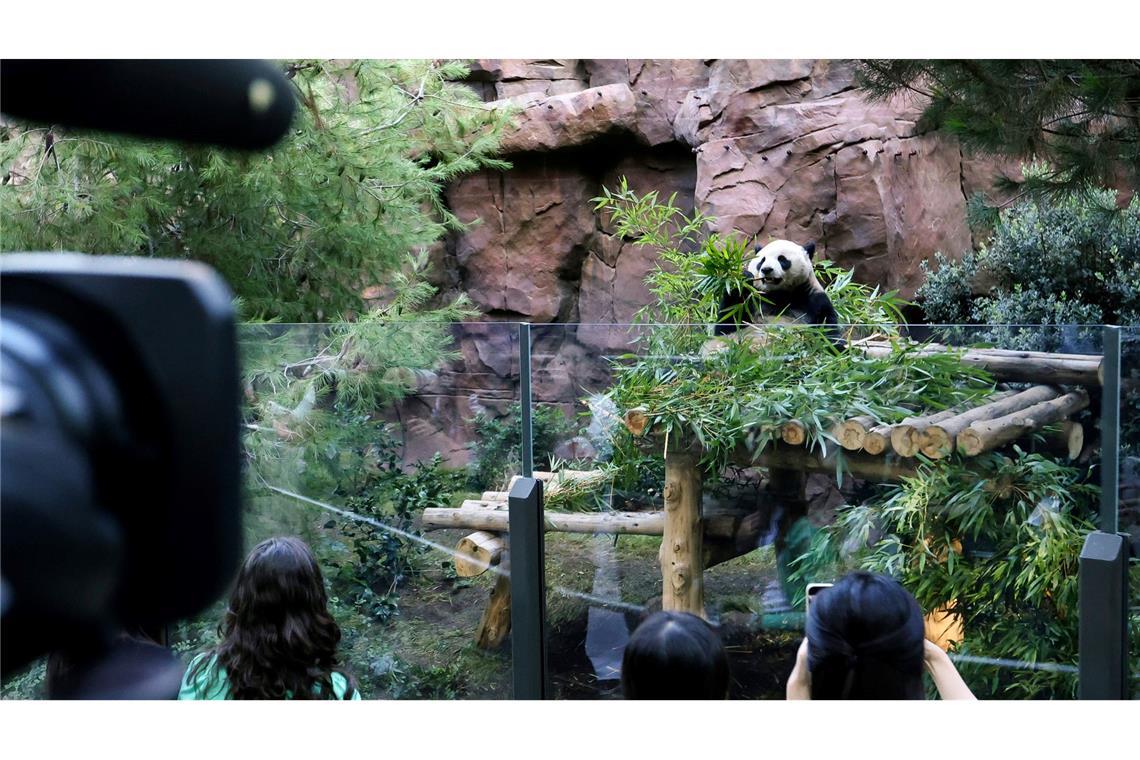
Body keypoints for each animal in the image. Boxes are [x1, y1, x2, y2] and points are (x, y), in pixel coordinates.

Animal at [715, 238, 843, 348]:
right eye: (762, 260)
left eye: (782, 259)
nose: (766, 269)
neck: (779, 294)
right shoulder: (755, 298)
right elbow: (727, 325)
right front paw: (743, 279)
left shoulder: (814, 299)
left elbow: (827, 329)